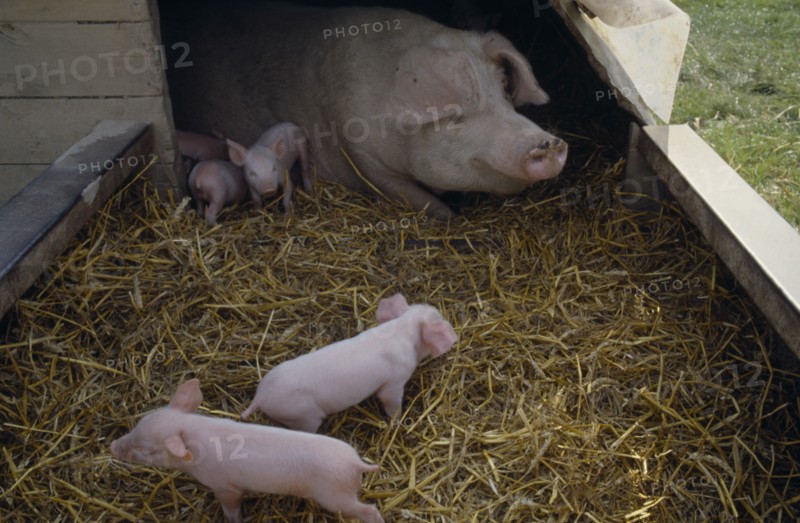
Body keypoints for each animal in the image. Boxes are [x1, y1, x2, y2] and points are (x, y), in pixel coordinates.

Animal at [110, 379, 383, 523]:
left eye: (146, 450)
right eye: (139, 422)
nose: (112, 447)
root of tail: (358, 464)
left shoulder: (224, 486)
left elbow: (231, 507)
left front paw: (234, 519)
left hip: (335, 496)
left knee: (369, 509)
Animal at [166, 4, 568, 220]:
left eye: (503, 90)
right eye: (456, 113)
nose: (548, 144)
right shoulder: (363, 159)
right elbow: (415, 198)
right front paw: (452, 216)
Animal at [241, 294, 457, 432]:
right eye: (438, 316)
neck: (404, 329)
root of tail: (260, 397)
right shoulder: (395, 380)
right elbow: (390, 400)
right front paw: (398, 421)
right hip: (303, 416)